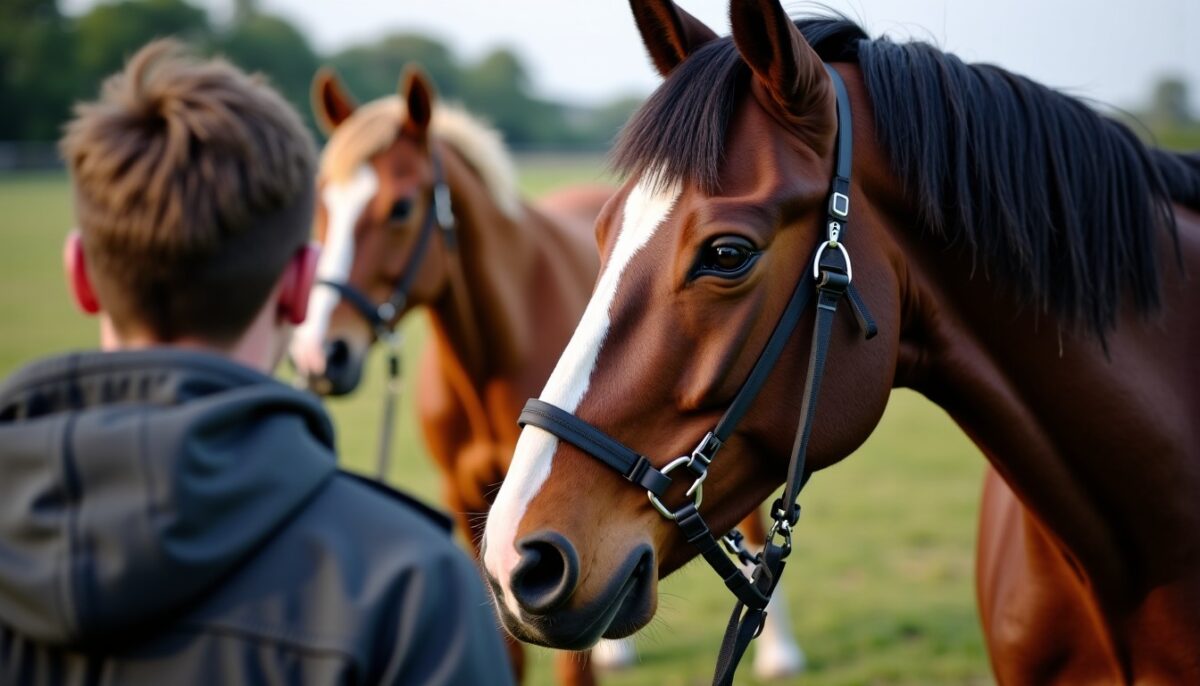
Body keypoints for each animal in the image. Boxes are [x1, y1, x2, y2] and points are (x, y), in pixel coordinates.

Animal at [286, 66, 806, 682]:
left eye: (402, 208)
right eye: (320, 204)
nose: (319, 354)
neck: (489, 358)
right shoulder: (475, 513)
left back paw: (780, 653)